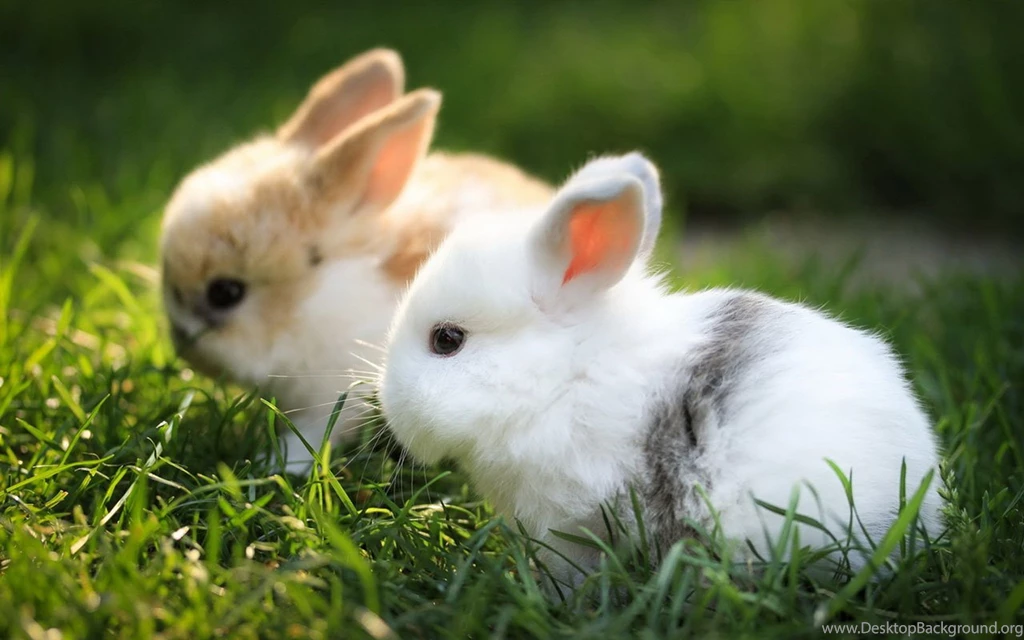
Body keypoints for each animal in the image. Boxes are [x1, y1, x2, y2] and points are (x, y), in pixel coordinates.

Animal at [159, 48, 553, 472]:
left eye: (225, 292)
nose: (183, 346)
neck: (316, 298)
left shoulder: (336, 394)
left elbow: (315, 432)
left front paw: (275, 463)